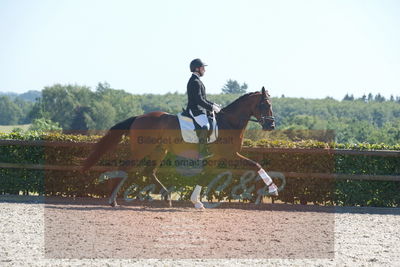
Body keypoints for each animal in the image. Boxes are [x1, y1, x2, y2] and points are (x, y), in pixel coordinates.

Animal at [83, 88, 278, 209]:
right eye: (265, 105)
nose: (271, 126)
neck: (229, 122)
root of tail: (138, 117)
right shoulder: (230, 154)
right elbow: (255, 165)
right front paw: (273, 188)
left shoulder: (218, 157)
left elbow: (206, 175)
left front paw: (196, 202)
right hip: (141, 150)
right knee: (125, 168)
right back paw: (113, 201)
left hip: (159, 150)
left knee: (149, 171)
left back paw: (167, 198)